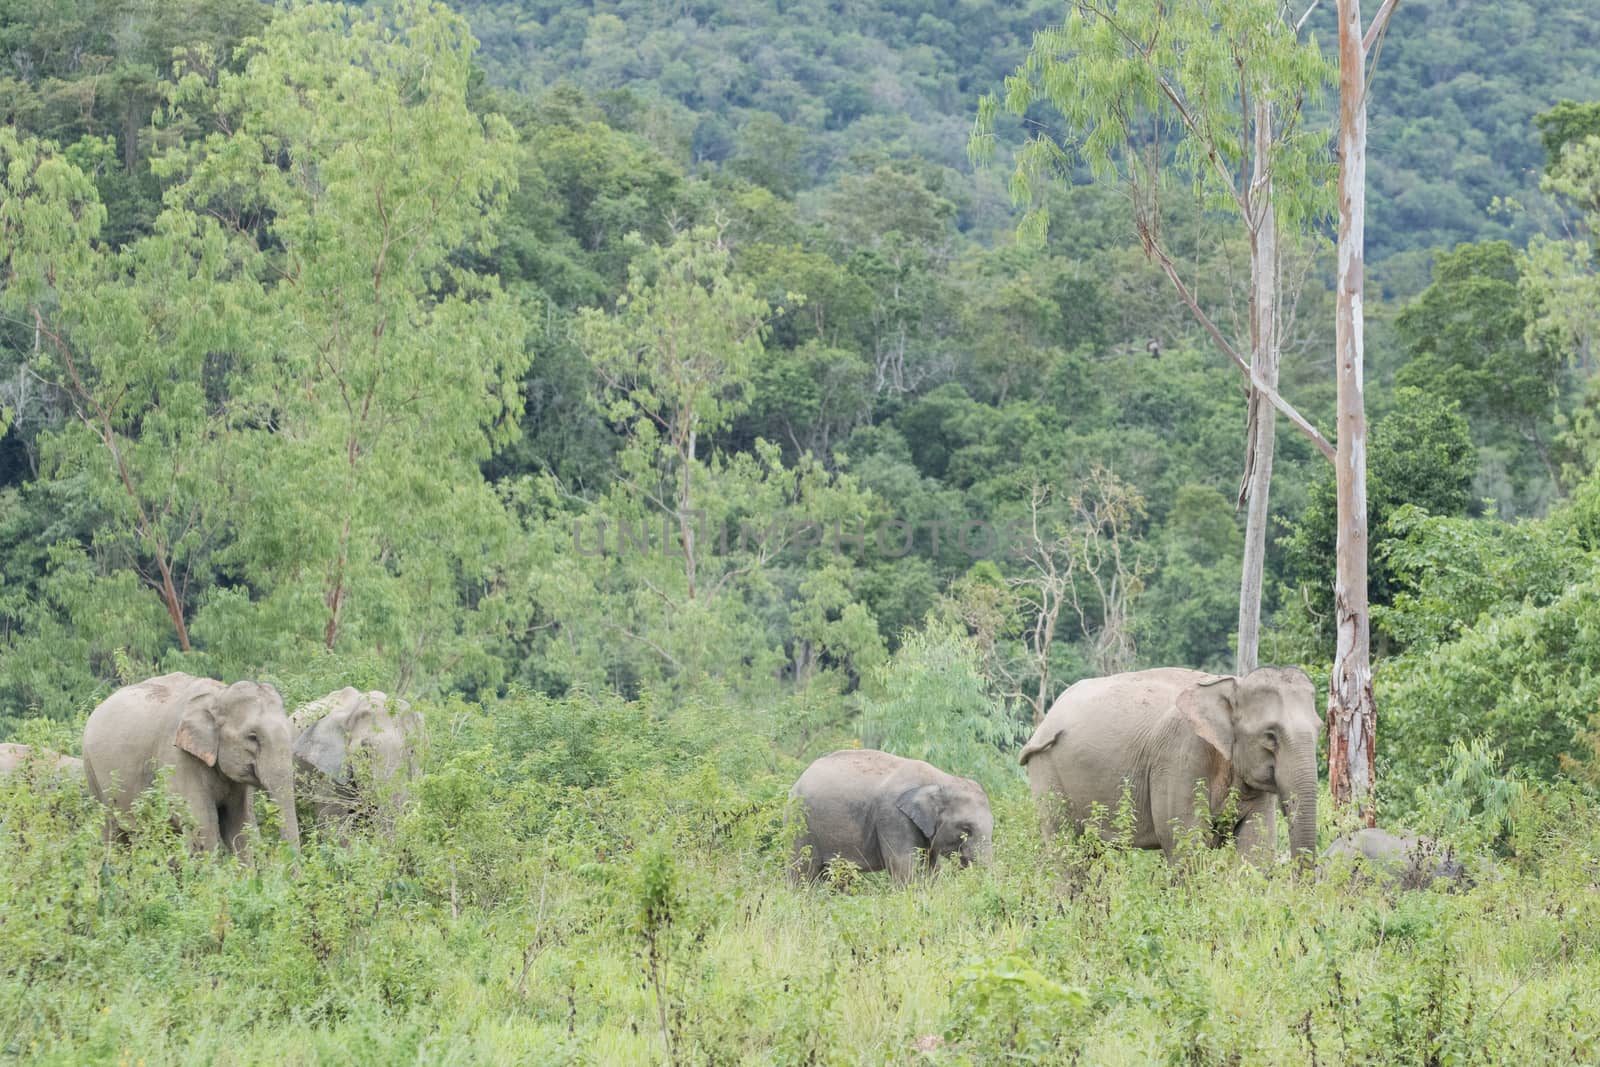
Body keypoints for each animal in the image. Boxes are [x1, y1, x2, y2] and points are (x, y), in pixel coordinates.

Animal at [83, 671, 300, 857]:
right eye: (252, 737)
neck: (219, 695)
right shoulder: (177, 758)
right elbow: (203, 825)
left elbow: (240, 823)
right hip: (92, 772)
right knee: (112, 830)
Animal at [784, 748, 992, 889]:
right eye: (966, 829)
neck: (940, 779)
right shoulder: (893, 817)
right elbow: (903, 866)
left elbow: (931, 867)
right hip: (799, 823)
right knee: (802, 871)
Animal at [1017, 668, 1318, 870]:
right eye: (1270, 736)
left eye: (1319, 728)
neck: (1230, 684)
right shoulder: (1179, 755)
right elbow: (1184, 840)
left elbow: (1256, 845)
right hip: (1045, 769)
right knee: (1066, 849)